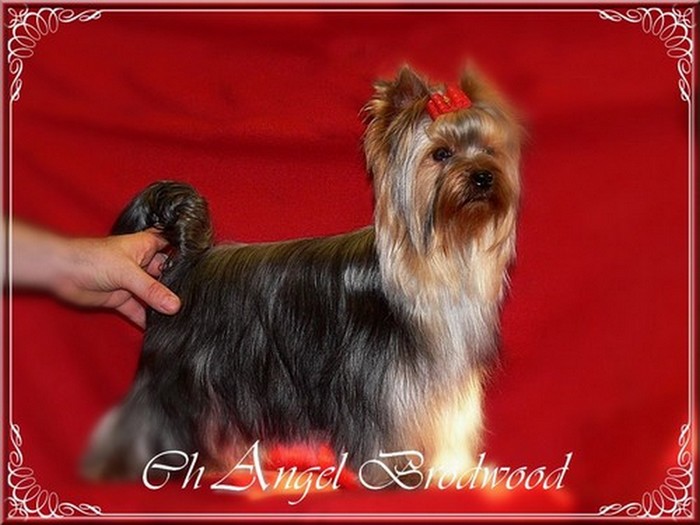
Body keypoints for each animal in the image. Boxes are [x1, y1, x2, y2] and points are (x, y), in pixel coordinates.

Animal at [83, 66, 522, 485]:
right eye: (441, 154)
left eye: (488, 150)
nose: (483, 176)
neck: (442, 257)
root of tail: (190, 257)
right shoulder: (377, 385)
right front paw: (389, 474)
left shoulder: (442, 384)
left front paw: (453, 468)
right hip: (176, 376)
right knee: (146, 418)